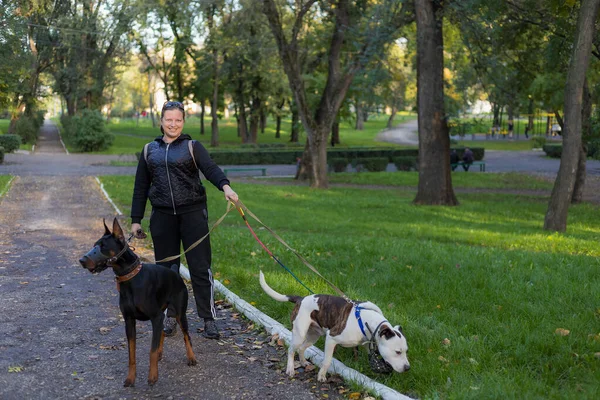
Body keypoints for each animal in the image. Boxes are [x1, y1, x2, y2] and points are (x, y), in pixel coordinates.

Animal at [260, 272, 410, 382]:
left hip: (314, 335)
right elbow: (327, 361)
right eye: (397, 352)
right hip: (299, 333)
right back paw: (290, 369)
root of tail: (301, 299)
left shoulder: (368, 343)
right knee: (292, 350)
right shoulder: (331, 338)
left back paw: (303, 362)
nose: (407, 368)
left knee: (302, 348)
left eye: (406, 351)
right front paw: (321, 376)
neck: (364, 322)